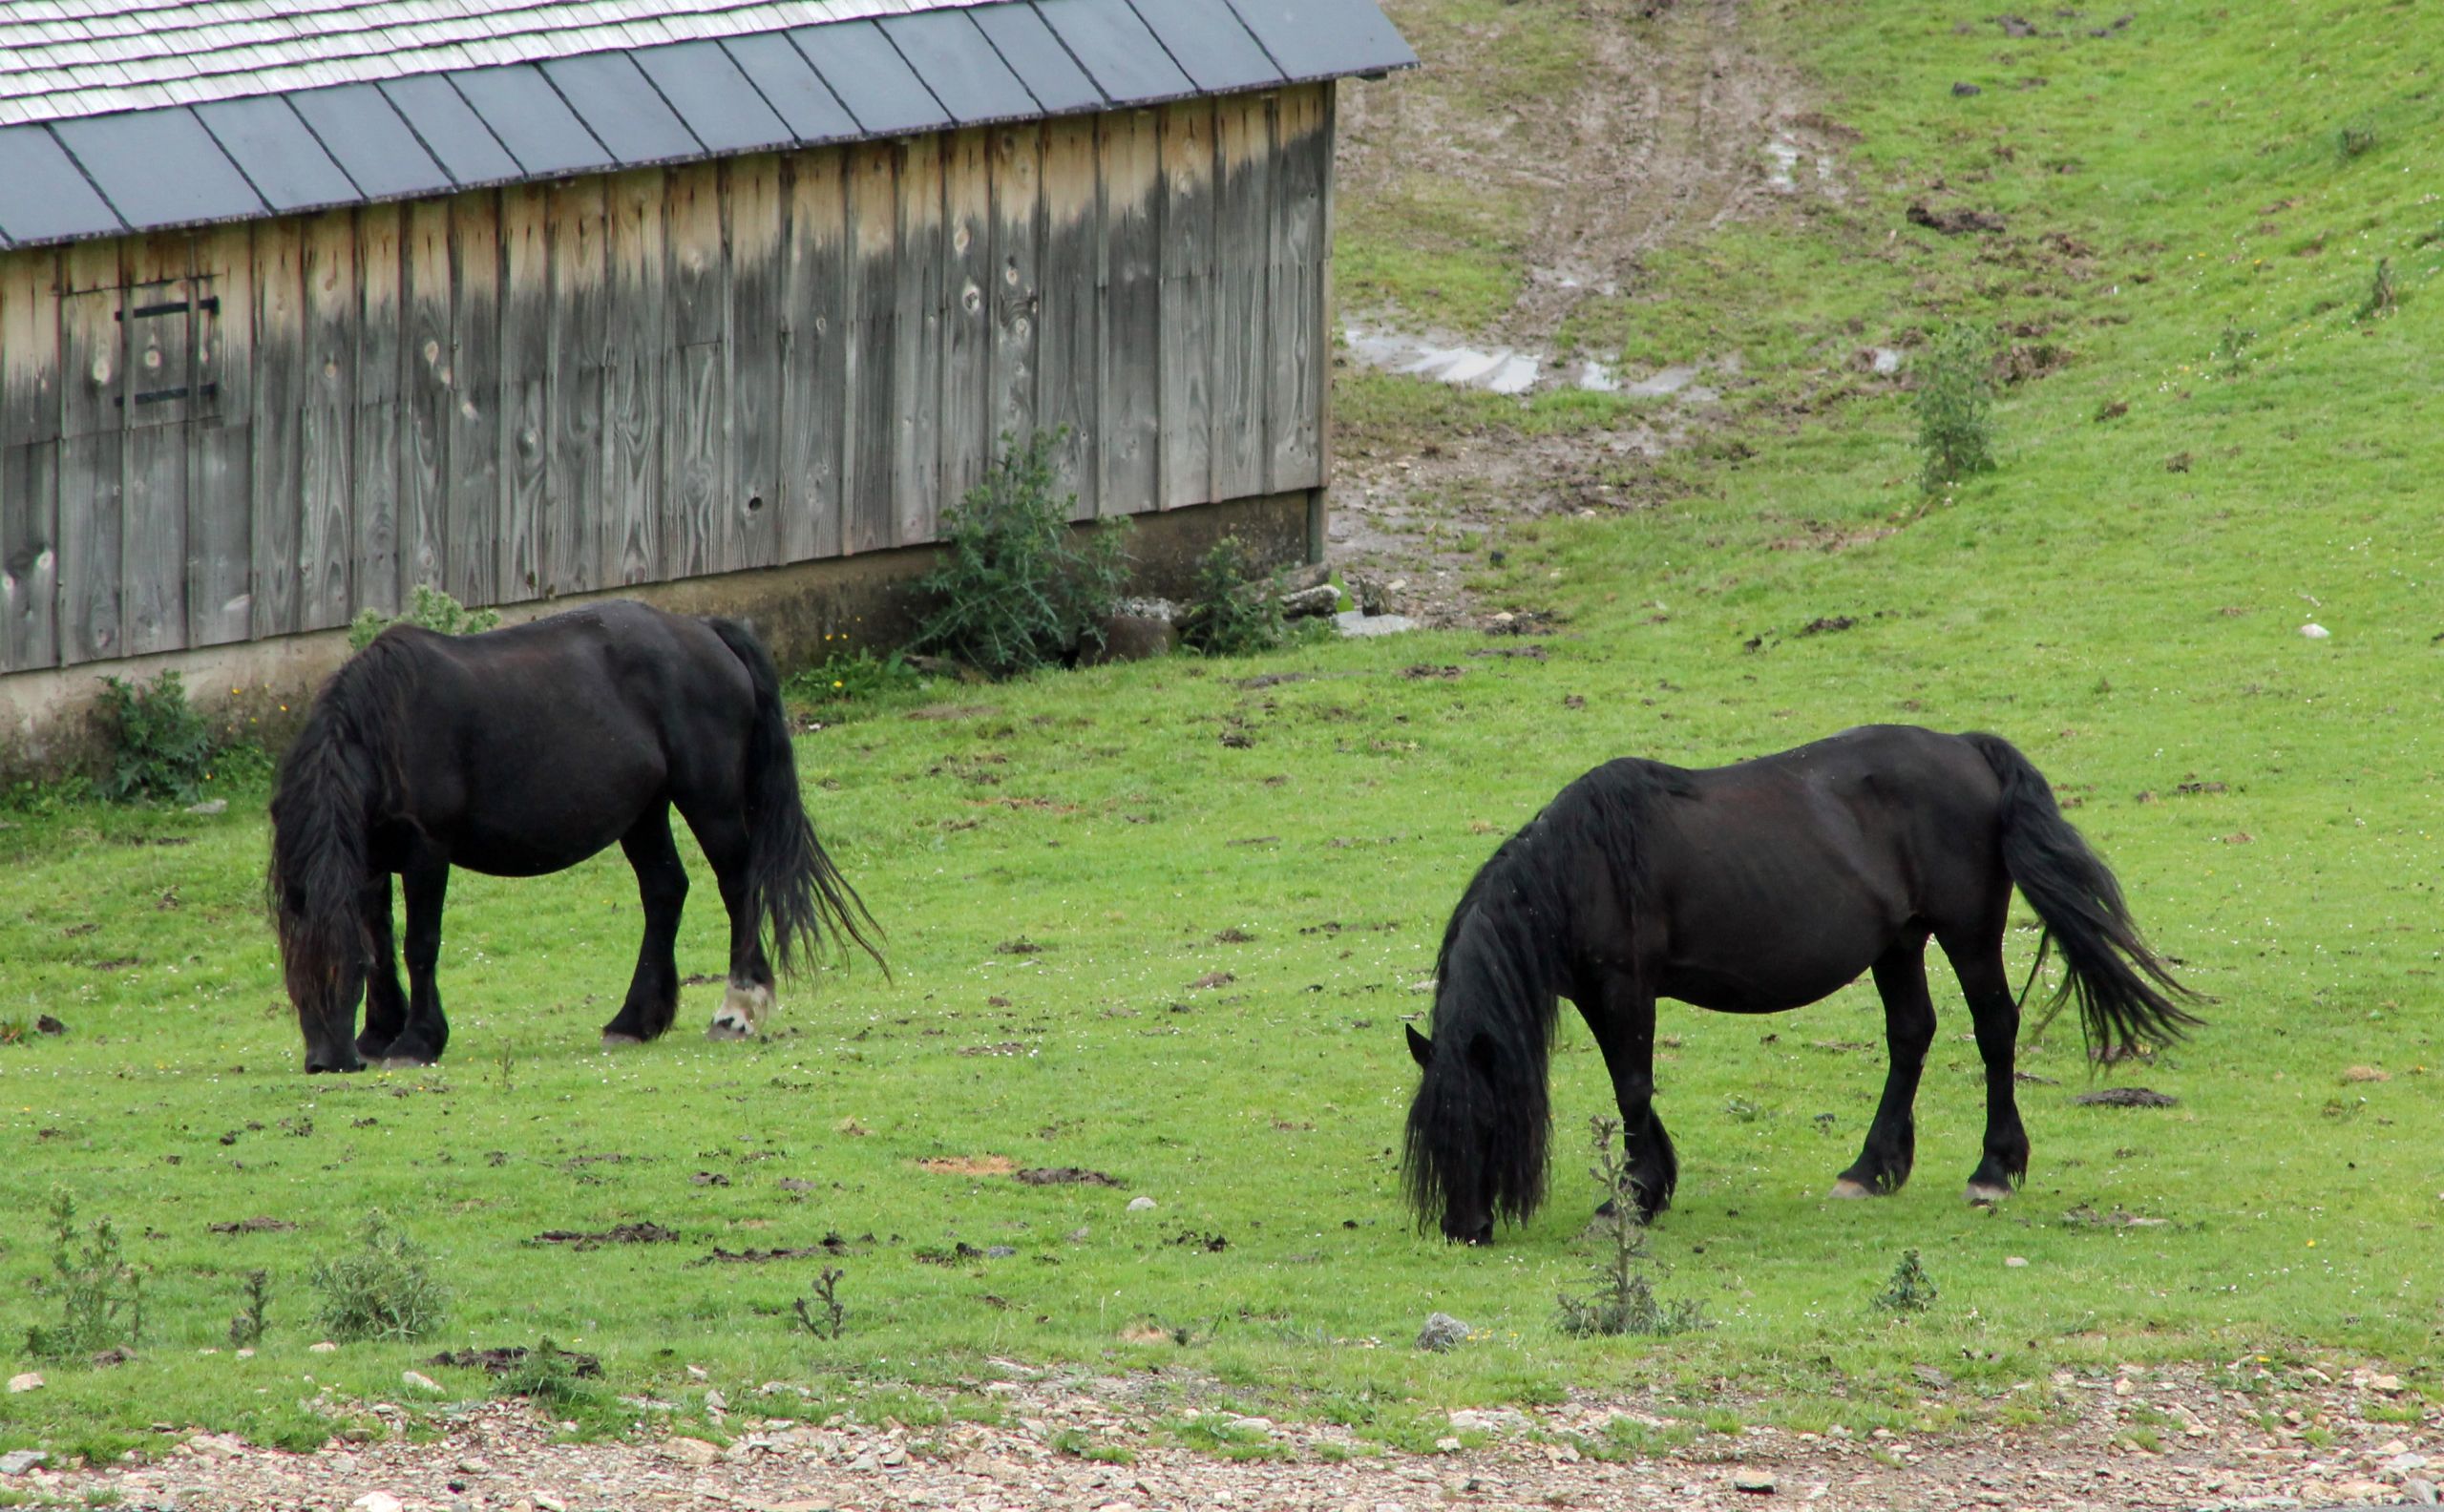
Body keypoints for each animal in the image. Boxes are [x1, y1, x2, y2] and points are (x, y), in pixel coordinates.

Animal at [269, 598, 879, 1069]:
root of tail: (705, 631)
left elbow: (419, 944)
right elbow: (381, 941)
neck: (384, 731)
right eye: (295, 971)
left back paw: (737, 1010)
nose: (327, 1061)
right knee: (665, 892)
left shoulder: (426, 852)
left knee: (738, 886)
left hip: (712, 803)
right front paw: (379, 1035)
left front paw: (417, 1041)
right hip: (644, 812)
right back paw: (634, 1020)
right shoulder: (372, 858)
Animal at [1407, 732, 2209, 1240]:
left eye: (1486, 1123)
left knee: (1994, 1028)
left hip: (1968, 932)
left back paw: (1993, 1168)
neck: (1583, 868)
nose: (1463, 1229)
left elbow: (1632, 1087)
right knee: (1911, 1035)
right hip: (1899, 942)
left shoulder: (1626, 987)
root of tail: (1965, 746)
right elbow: (1630, 1089)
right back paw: (1871, 1169)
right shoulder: (1601, 996)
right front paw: (1652, 1181)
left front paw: (1630, 1199)